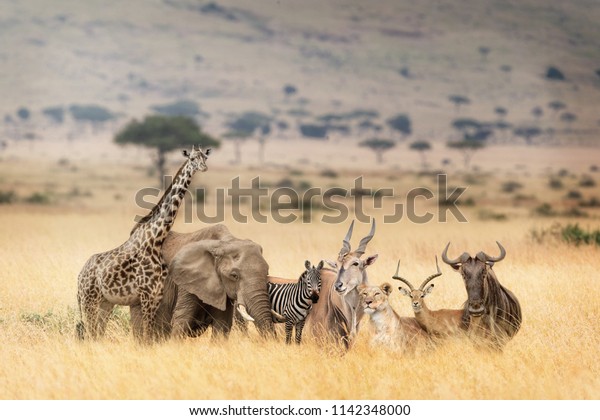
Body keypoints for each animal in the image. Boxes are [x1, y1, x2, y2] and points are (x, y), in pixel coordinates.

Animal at [76, 144, 211, 342]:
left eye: (205, 158)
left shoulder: (156, 295)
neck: (156, 239)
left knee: (96, 333)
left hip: (104, 302)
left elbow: (149, 334)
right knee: (89, 332)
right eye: (193, 158)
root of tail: (79, 276)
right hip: (89, 300)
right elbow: (147, 334)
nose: (204, 167)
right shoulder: (147, 295)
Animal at [138, 225, 274, 340]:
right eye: (234, 276)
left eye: (267, 273)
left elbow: (222, 322)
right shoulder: (187, 279)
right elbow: (183, 318)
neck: (224, 243)